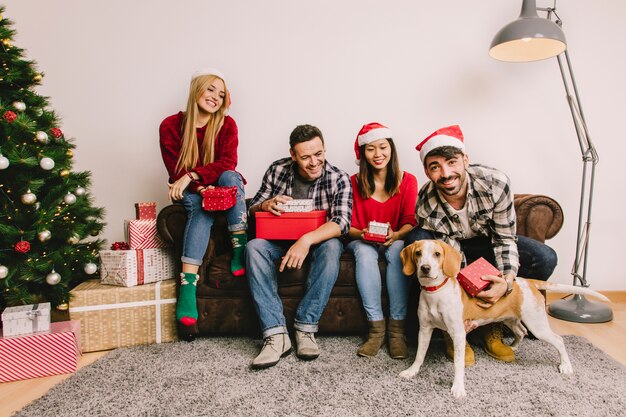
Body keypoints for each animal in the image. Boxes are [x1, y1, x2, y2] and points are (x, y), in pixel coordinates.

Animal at [398, 237, 608, 396]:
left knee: (558, 340)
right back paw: (512, 347)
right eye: (418, 253)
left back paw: (566, 366)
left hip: (537, 325)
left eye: (437, 254)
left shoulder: (458, 333)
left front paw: (458, 388)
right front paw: (412, 371)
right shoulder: (425, 329)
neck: (435, 292)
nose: (425, 268)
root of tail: (527, 282)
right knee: (521, 331)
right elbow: (419, 355)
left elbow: (458, 364)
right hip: (511, 318)